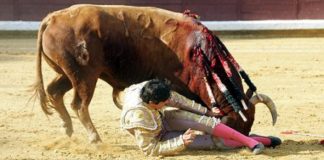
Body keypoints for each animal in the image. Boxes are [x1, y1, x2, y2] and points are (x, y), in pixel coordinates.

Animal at [32, 4, 276, 144]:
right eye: (236, 126)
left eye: (249, 125)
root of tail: (53, 17)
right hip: (85, 75)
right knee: (80, 105)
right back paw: (95, 138)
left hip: (68, 73)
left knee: (54, 92)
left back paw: (67, 128)